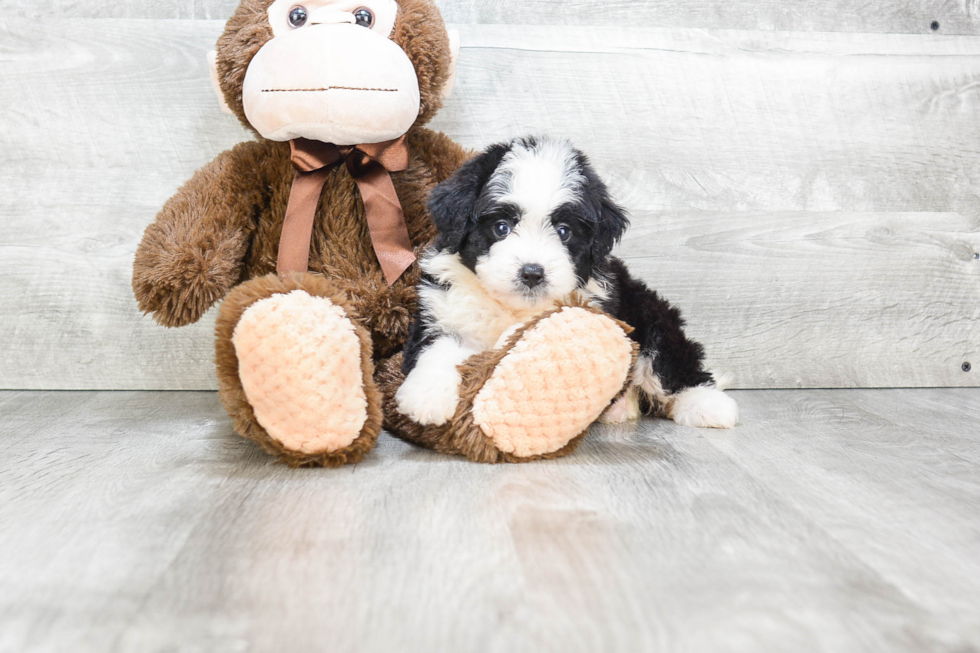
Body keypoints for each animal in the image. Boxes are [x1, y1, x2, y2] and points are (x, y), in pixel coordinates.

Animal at [394, 136, 740, 430]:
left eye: (564, 231)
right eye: (501, 227)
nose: (532, 273)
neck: (512, 308)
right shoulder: (440, 308)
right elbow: (439, 346)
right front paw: (427, 396)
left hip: (650, 314)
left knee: (671, 365)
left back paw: (709, 405)